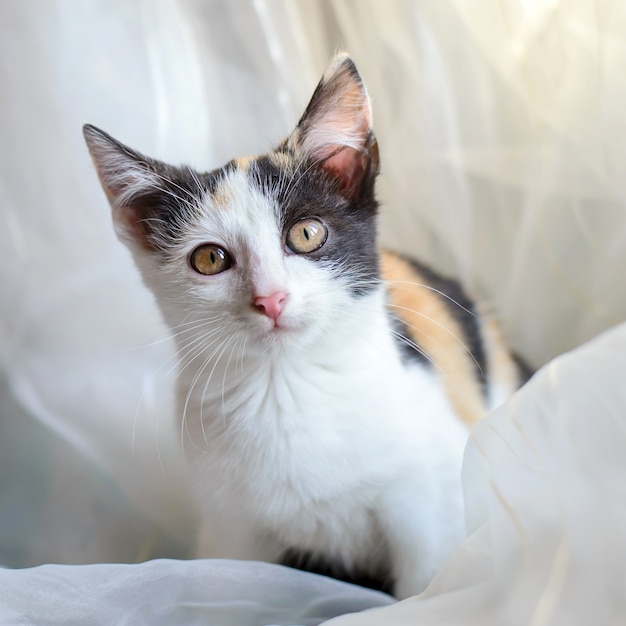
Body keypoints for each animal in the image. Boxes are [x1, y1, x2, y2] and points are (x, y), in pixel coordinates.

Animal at [83, 52, 528, 596]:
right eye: (209, 258)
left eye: (307, 234)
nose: (270, 299)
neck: (286, 388)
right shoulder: (229, 529)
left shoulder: (428, 497)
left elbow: (424, 588)